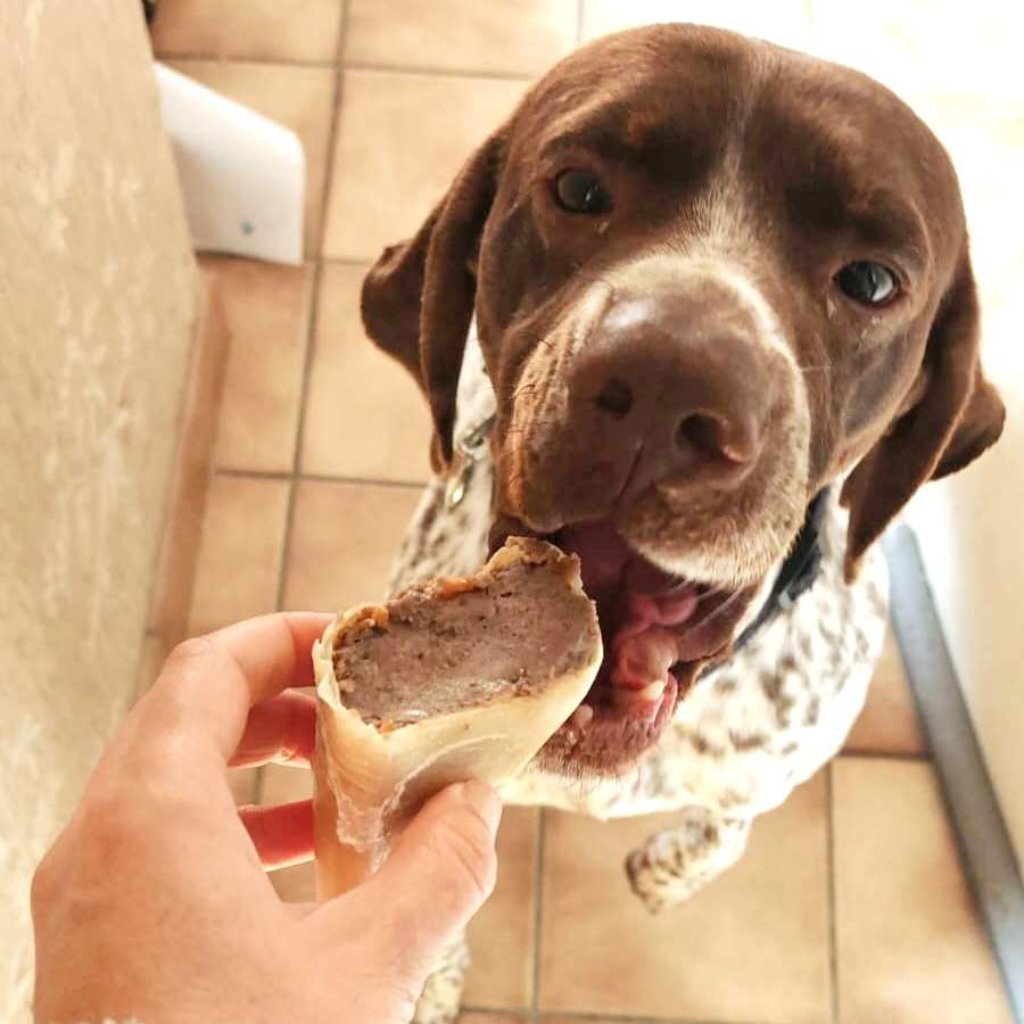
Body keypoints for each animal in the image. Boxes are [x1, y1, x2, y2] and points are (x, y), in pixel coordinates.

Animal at [356, 24, 1003, 1024]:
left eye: (871, 280)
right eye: (580, 191)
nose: (665, 385)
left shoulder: (771, 764)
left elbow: (730, 823)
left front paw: (671, 869)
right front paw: (429, 976)